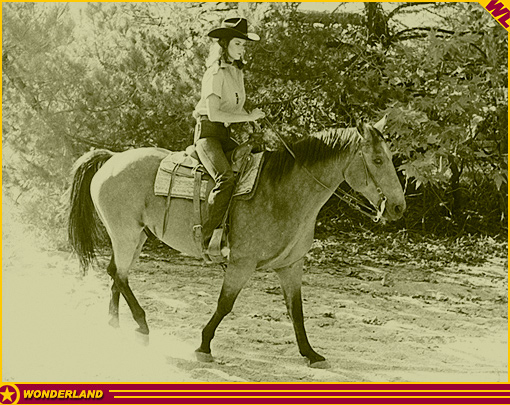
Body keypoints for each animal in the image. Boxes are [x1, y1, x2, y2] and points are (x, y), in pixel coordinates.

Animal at [67, 115, 404, 368]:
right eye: (377, 159)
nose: (399, 207)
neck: (283, 192)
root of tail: (112, 158)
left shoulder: (291, 265)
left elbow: (296, 310)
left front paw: (310, 354)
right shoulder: (242, 263)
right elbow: (225, 304)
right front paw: (203, 346)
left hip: (135, 237)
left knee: (116, 275)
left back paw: (116, 324)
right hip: (125, 234)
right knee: (119, 274)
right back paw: (141, 324)